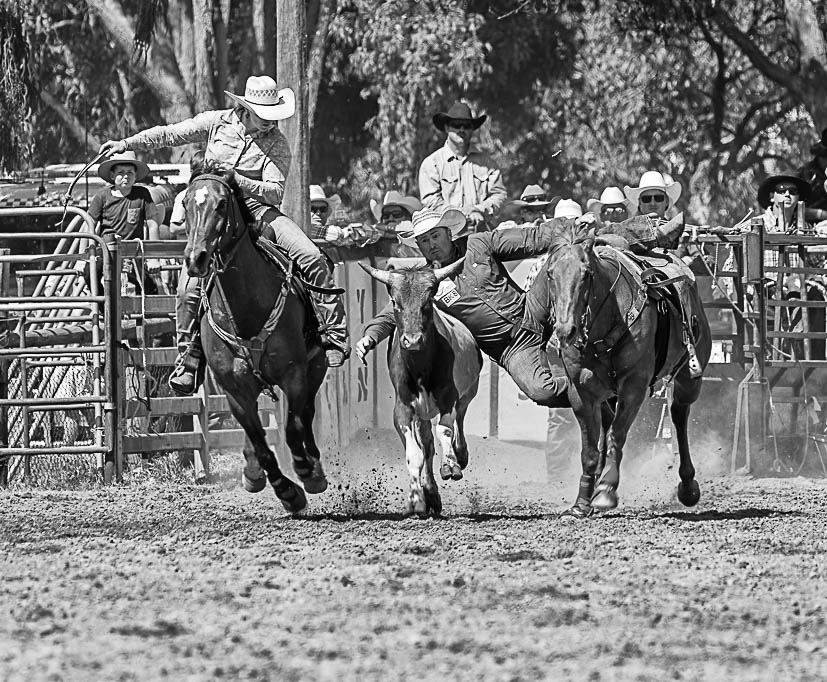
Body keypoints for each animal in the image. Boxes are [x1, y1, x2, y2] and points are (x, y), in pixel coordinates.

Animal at [184, 167, 330, 512]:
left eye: (222, 203)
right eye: (185, 203)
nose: (196, 258)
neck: (247, 306)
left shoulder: (294, 374)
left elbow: (292, 428)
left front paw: (305, 471)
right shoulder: (233, 389)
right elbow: (260, 443)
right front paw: (287, 492)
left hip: (316, 366)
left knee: (306, 415)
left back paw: (313, 466)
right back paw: (253, 471)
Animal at [532, 223, 712, 516]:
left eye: (587, 274)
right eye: (550, 273)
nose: (566, 331)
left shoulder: (634, 386)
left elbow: (618, 435)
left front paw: (606, 490)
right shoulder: (580, 392)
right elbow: (590, 449)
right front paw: (582, 502)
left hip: (689, 378)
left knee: (678, 416)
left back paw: (688, 487)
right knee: (607, 424)